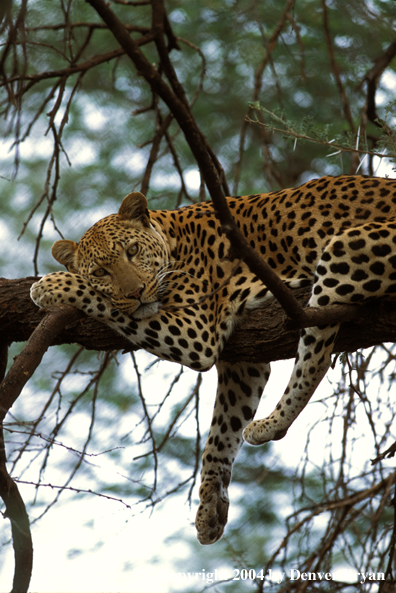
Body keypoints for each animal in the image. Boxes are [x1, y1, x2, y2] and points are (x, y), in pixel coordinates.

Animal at [30, 173, 396, 544]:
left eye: (132, 251)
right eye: (101, 272)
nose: (136, 293)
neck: (172, 238)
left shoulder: (197, 333)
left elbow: (103, 302)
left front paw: (52, 285)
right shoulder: (243, 362)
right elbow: (221, 430)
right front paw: (209, 506)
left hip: (347, 247)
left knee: (316, 355)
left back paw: (270, 424)